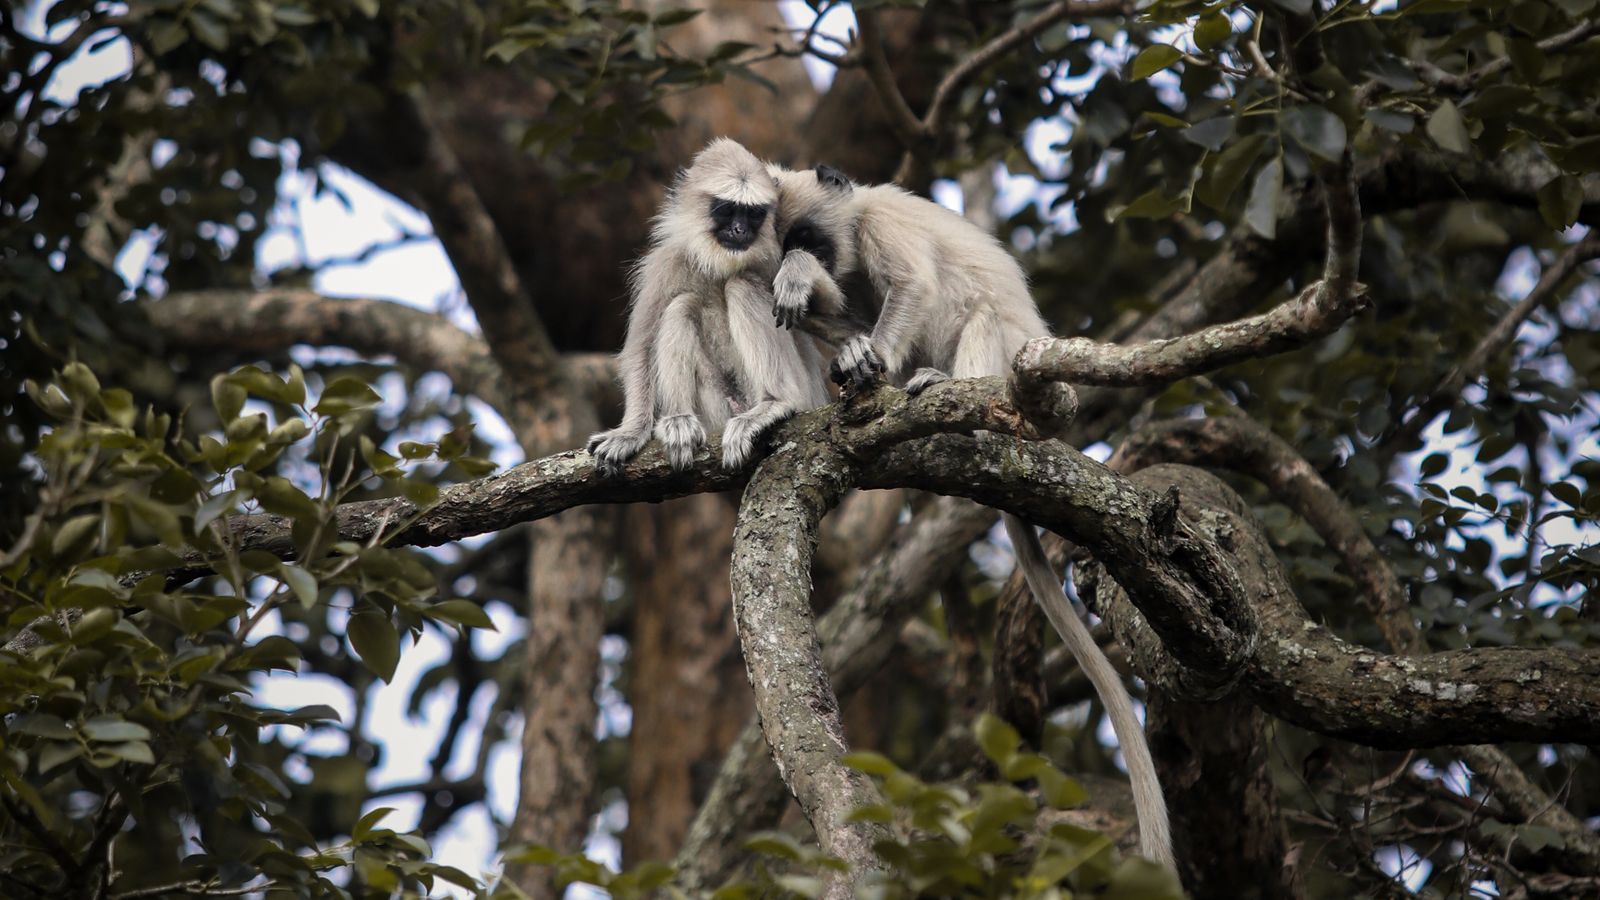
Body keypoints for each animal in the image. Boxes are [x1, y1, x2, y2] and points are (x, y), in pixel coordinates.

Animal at [586, 138, 832, 475]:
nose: (740, 230)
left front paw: (798, 273)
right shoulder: (665, 265)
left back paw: (776, 402)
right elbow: (640, 347)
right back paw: (679, 421)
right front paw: (631, 432)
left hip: (800, 392)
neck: (721, 264)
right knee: (681, 306)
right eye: (727, 210)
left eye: (753, 214)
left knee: (742, 286)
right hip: (719, 409)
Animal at [766, 164, 1175, 868]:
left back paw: (945, 397)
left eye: (814, 236)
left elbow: (913, 286)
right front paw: (804, 288)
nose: (808, 254)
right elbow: (848, 314)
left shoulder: (880, 226)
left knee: (976, 315)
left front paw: (821, 301)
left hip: (1012, 359)